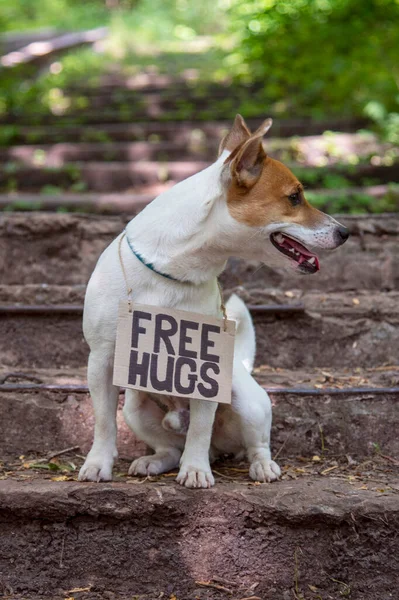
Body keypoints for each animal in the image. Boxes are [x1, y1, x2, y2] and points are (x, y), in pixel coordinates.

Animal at [79, 113, 350, 488]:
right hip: (135, 407)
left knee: (253, 445)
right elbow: (104, 423)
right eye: (295, 197)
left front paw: (195, 470)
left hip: (249, 404)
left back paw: (258, 466)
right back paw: (155, 461)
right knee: (169, 448)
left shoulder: (204, 369)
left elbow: (201, 427)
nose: (345, 232)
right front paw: (98, 463)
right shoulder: (101, 361)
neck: (173, 266)